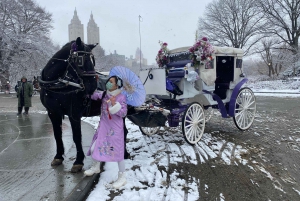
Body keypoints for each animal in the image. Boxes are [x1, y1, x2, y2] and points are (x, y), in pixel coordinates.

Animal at [39, 37, 98, 172]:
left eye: (93, 60)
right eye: (80, 59)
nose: (93, 85)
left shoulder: (74, 113)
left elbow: (77, 136)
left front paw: (78, 161)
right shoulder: (53, 113)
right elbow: (57, 134)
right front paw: (58, 156)